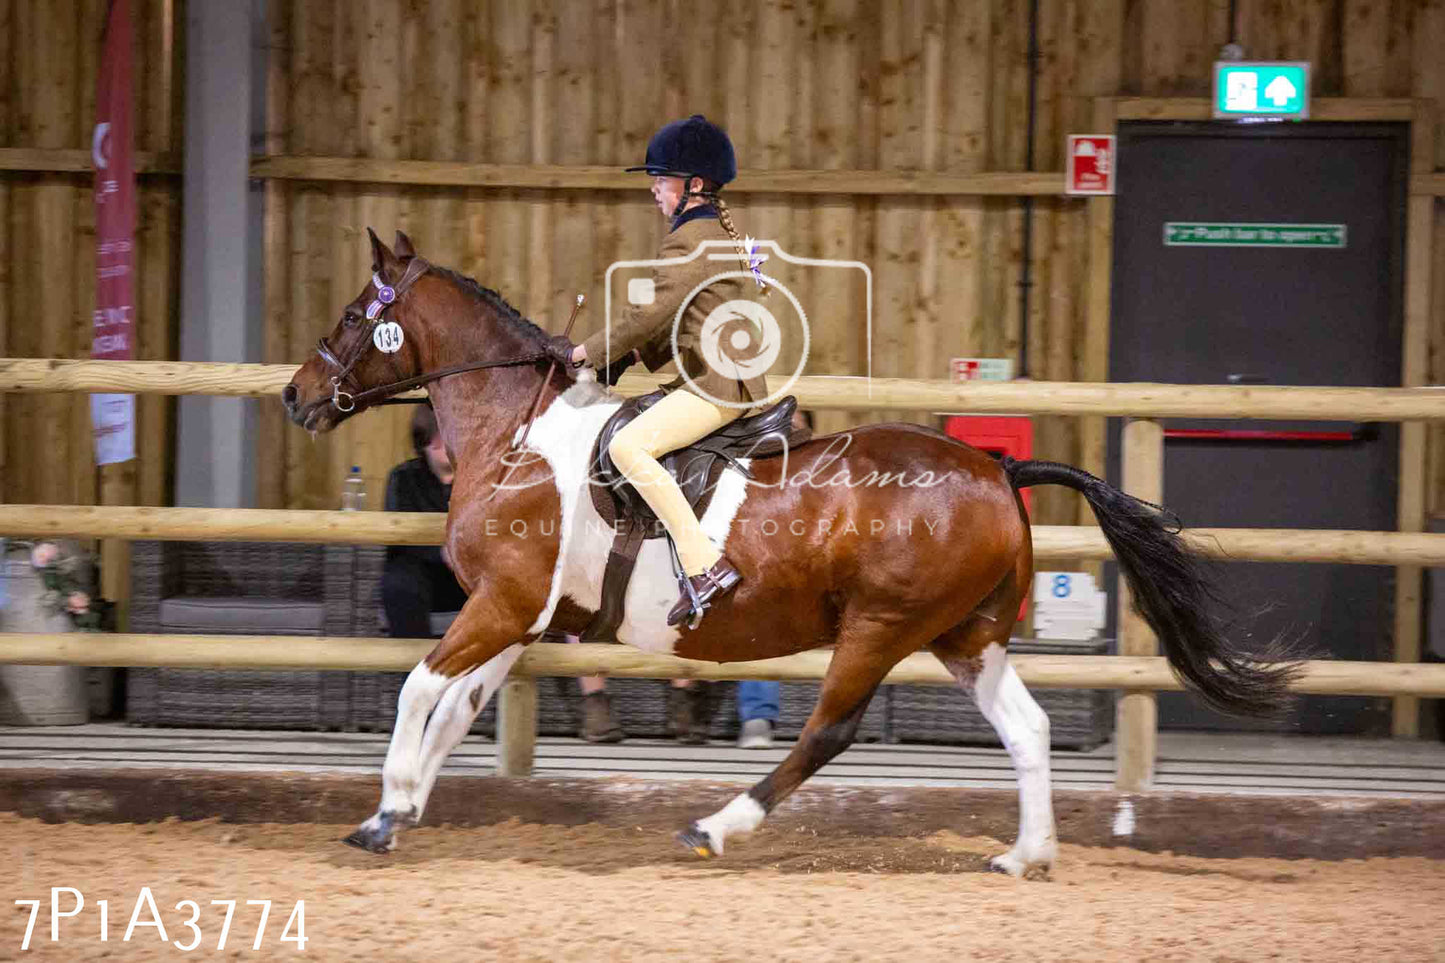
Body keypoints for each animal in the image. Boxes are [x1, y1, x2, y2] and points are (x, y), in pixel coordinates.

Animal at [281, 228, 1300, 873]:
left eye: (353, 313)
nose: (296, 394)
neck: (517, 437)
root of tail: (994, 464)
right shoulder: (524, 619)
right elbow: (454, 709)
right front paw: (393, 813)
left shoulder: (498, 607)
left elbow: (418, 688)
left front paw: (389, 802)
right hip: (964, 635)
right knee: (1028, 727)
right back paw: (1026, 853)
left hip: (879, 627)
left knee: (827, 733)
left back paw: (714, 827)